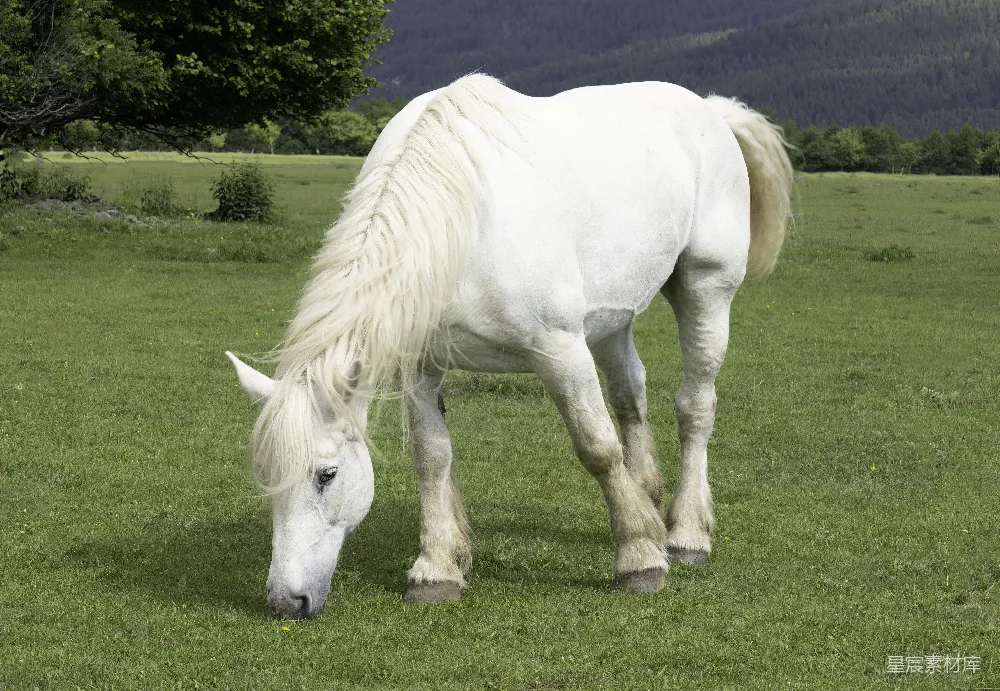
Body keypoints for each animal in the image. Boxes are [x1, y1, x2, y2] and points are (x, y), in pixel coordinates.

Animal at [226, 73, 793, 619]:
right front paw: (437, 568)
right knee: (631, 394)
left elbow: (597, 447)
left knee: (694, 406)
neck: (462, 218)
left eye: (326, 475)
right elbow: (431, 456)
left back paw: (685, 533)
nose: (286, 601)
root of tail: (709, 109)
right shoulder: (421, 365)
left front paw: (638, 559)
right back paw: (649, 502)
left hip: (705, 288)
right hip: (611, 319)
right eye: (264, 474)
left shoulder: (560, 351)